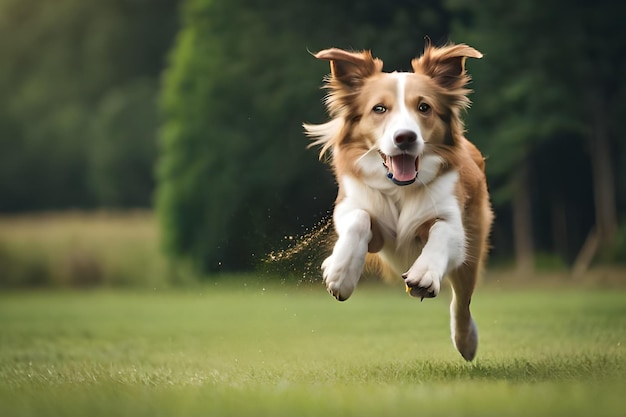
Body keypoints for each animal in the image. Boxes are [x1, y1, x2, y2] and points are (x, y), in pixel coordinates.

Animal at [302, 43, 492, 360]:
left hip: (472, 248)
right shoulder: (354, 209)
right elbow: (359, 219)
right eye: (379, 108)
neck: (401, 189)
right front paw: (340, 273)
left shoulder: (453, 222)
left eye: (424, 107)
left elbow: (441, 230)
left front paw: (424, 274)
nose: (405, 137)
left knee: (461, 301)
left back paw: (467, 342)